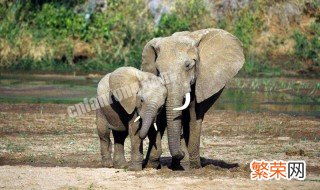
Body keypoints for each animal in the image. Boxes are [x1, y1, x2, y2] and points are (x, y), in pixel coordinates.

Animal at [141, 28, 245, 169]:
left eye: (188, 65)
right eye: (157, 69)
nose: (181, 152)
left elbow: (193, 115)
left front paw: (190, 166)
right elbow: (161, 116)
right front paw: (152, 164)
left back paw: (191, 165)